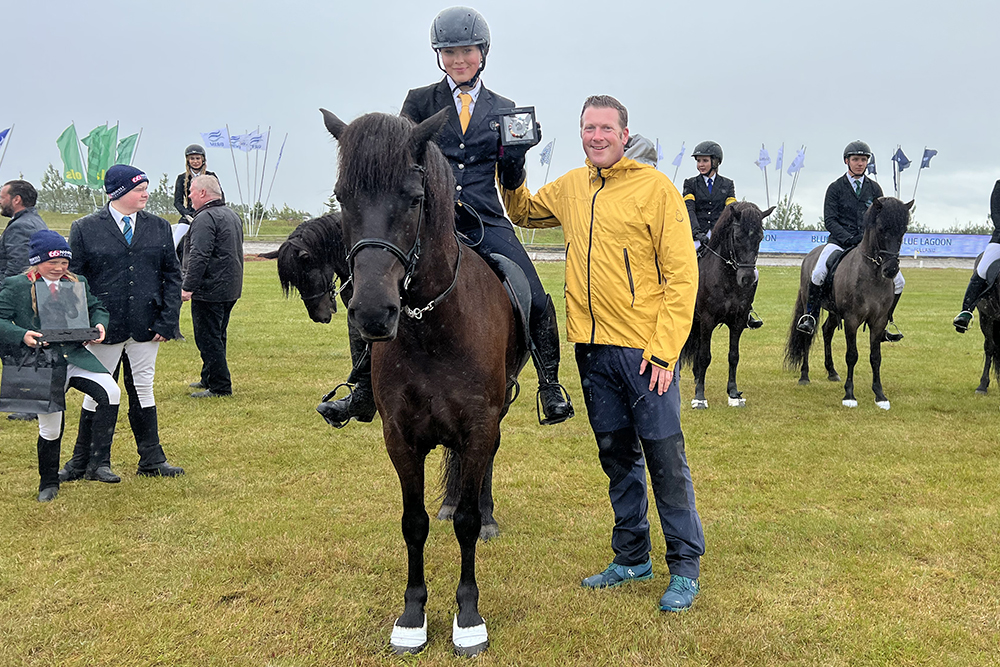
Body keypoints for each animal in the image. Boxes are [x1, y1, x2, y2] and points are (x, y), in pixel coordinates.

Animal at [322, 109, 532, 656]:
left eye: (414, 198)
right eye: (342, 196)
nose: (373, 313)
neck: (433, 326)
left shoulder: (479, 427)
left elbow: (466, 525)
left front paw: (469, 618)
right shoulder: (400, 437)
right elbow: (412, 523)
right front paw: (412, 616)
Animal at [680, 201, 772, 410]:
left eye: (761, 237)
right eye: (737, 237)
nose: (747, 279)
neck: (728, 279)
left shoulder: (738, 321)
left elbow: (733, 356)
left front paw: (734, 394)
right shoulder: (707, 320)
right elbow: (705, 356)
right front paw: (699, 397)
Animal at [784, 196, 912, 410]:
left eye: (903, 231)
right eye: (881, 229)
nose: (891, 270)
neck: (872, 276)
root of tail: (811, 254)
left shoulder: (878, 322)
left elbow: (875, 357)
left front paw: (880, 395)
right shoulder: (852, 320)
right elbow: (852, 355)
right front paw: (849, 395)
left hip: (834, 312)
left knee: (827, 331)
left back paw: (832, 372)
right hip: (811, 306)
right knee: (808, 336)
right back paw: (804, 376)